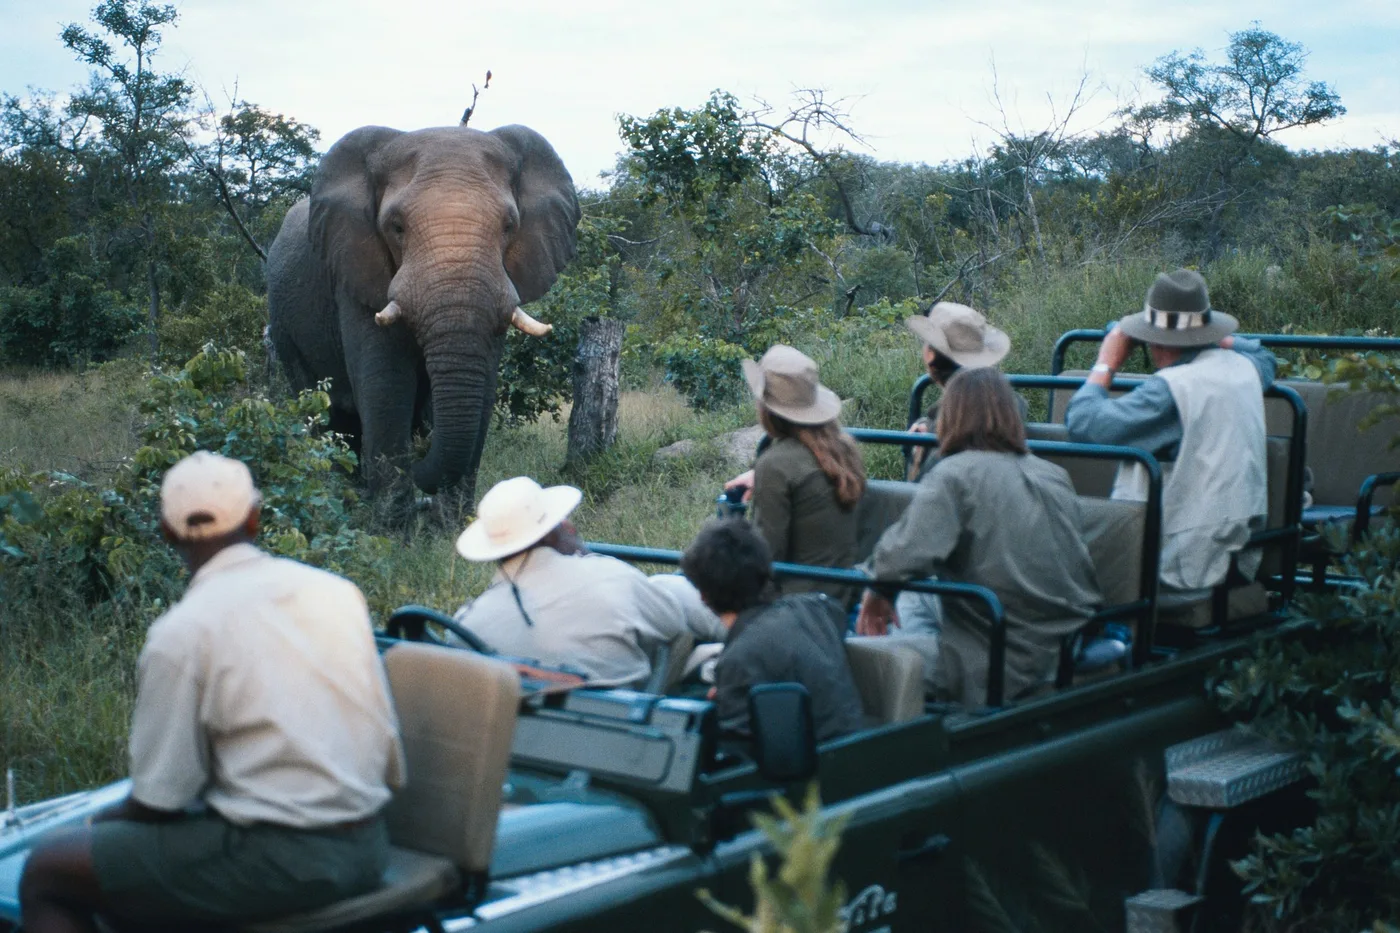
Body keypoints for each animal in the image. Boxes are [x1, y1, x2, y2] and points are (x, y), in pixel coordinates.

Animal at [265, 123, 580, 503]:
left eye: (508, 226)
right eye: (396, 227)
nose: (419, 457)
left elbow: (483, 392)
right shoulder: (354, 275)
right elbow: (386, 390)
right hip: (283, 326)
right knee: (326, 416)